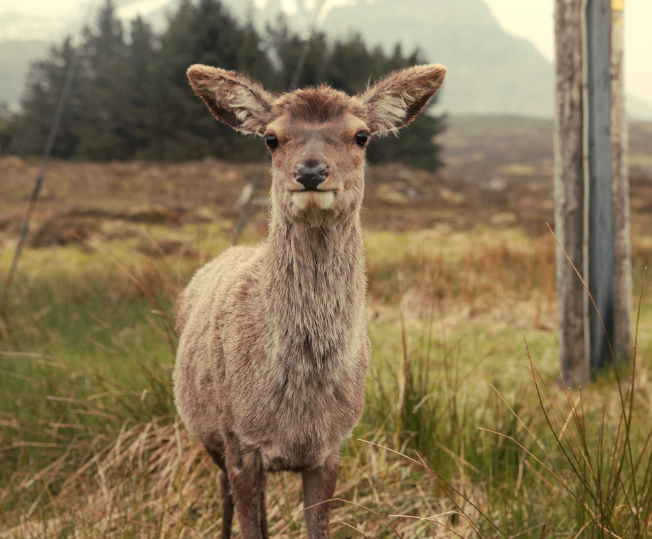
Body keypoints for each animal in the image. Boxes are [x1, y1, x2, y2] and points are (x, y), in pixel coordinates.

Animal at [172, 62, 446, 539]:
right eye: (271, 138)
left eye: (361, 135)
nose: (312, 171)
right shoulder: (239, 444)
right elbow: (251, 527)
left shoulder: (330, 449)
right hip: (207, 436)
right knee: (223, 497)